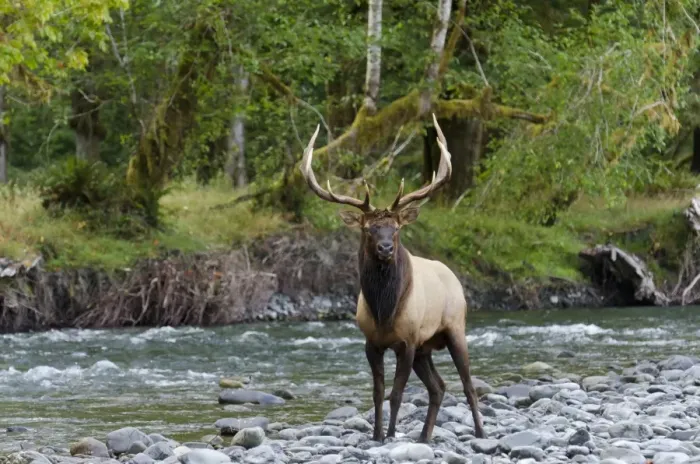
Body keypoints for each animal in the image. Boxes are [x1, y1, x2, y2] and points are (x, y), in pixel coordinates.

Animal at [299, 114, 485, 443]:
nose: (385, 248)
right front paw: (376, 435)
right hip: (426, 347)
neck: (384, 310)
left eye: (395, 228)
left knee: (467, 384)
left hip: (454, 328)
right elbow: (377, 392)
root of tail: (453, 276)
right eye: (368, 228)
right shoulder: (372, 342)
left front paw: (391, 434)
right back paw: (424, 437)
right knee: (439, 387)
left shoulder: (407, 341)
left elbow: (396, 394)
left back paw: (480, 431)